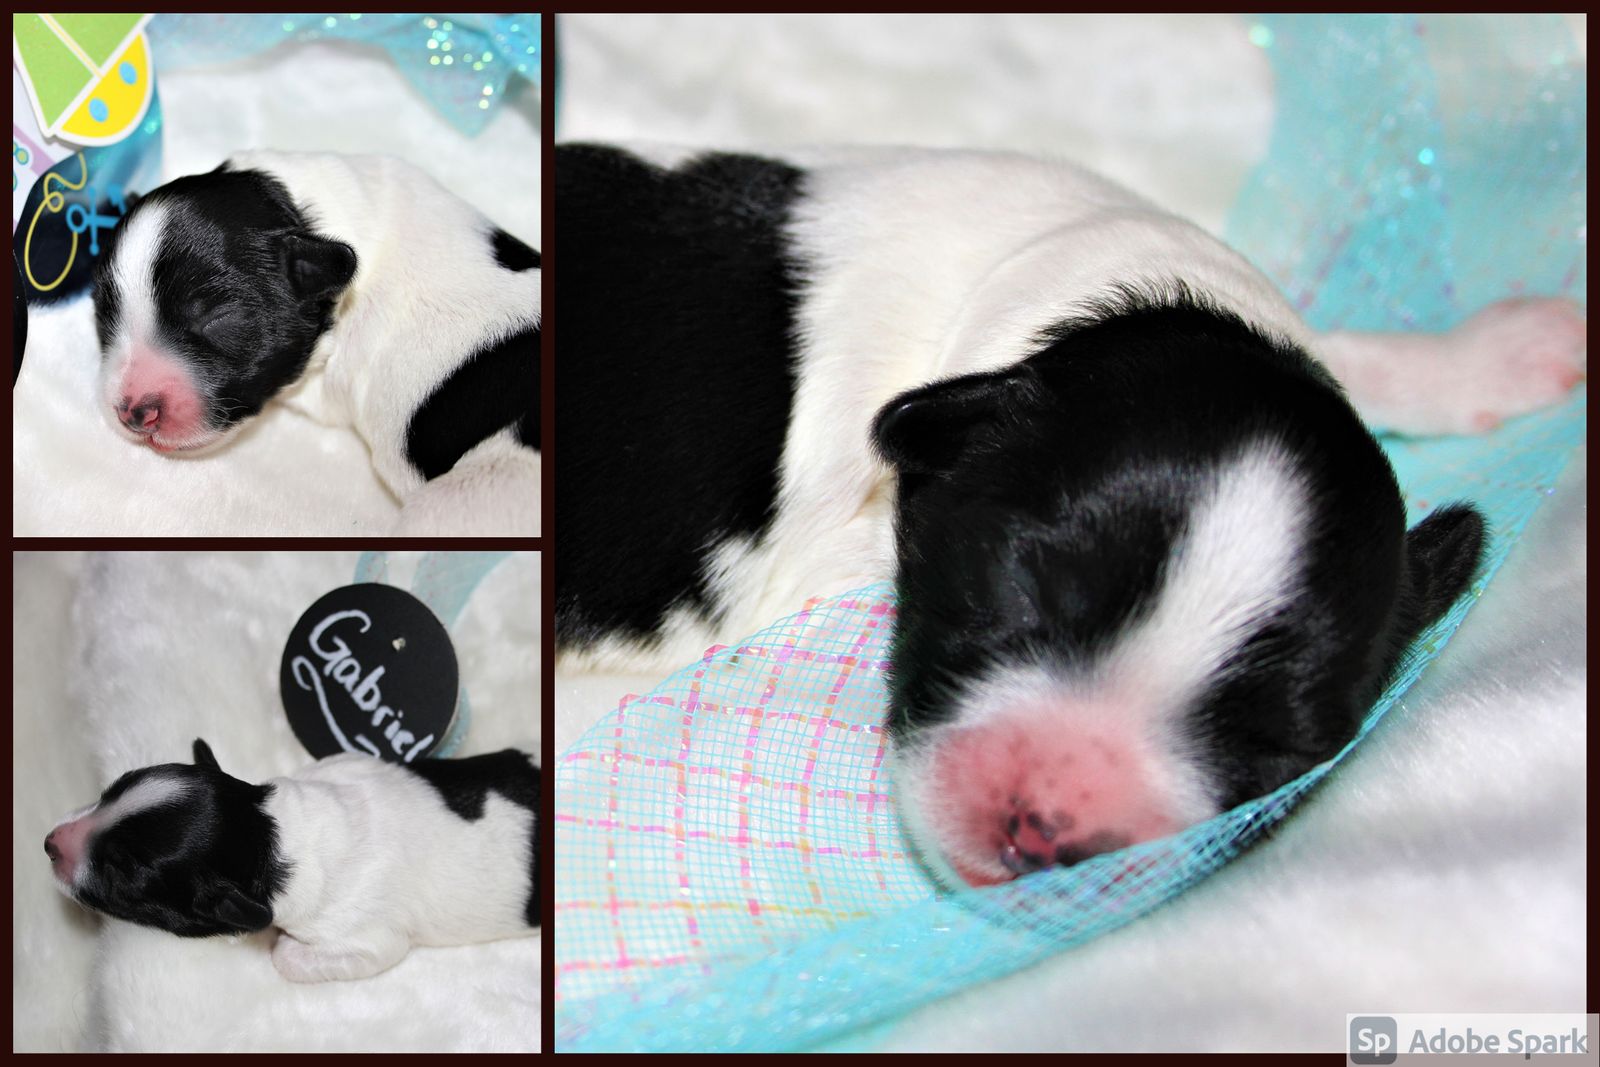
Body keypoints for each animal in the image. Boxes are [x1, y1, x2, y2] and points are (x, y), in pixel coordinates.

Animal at [45, 739, 539, 982]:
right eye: (112, 789)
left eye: (123, 869)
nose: (49, 843)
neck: (275, 837)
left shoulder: (368, 936)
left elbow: (295, 956)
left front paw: (283, 949)